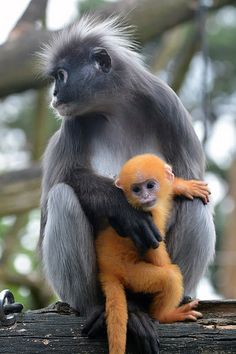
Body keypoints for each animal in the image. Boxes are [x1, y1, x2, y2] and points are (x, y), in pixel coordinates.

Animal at [95, 154, 209, 354]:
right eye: (136, 189)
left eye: (150, 186)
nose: (145, 196)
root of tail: (107, 270)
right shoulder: (147, 220)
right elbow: (158, 257)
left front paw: (182, 185)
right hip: (133, 274)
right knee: (170, 277)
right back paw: (165, 315)